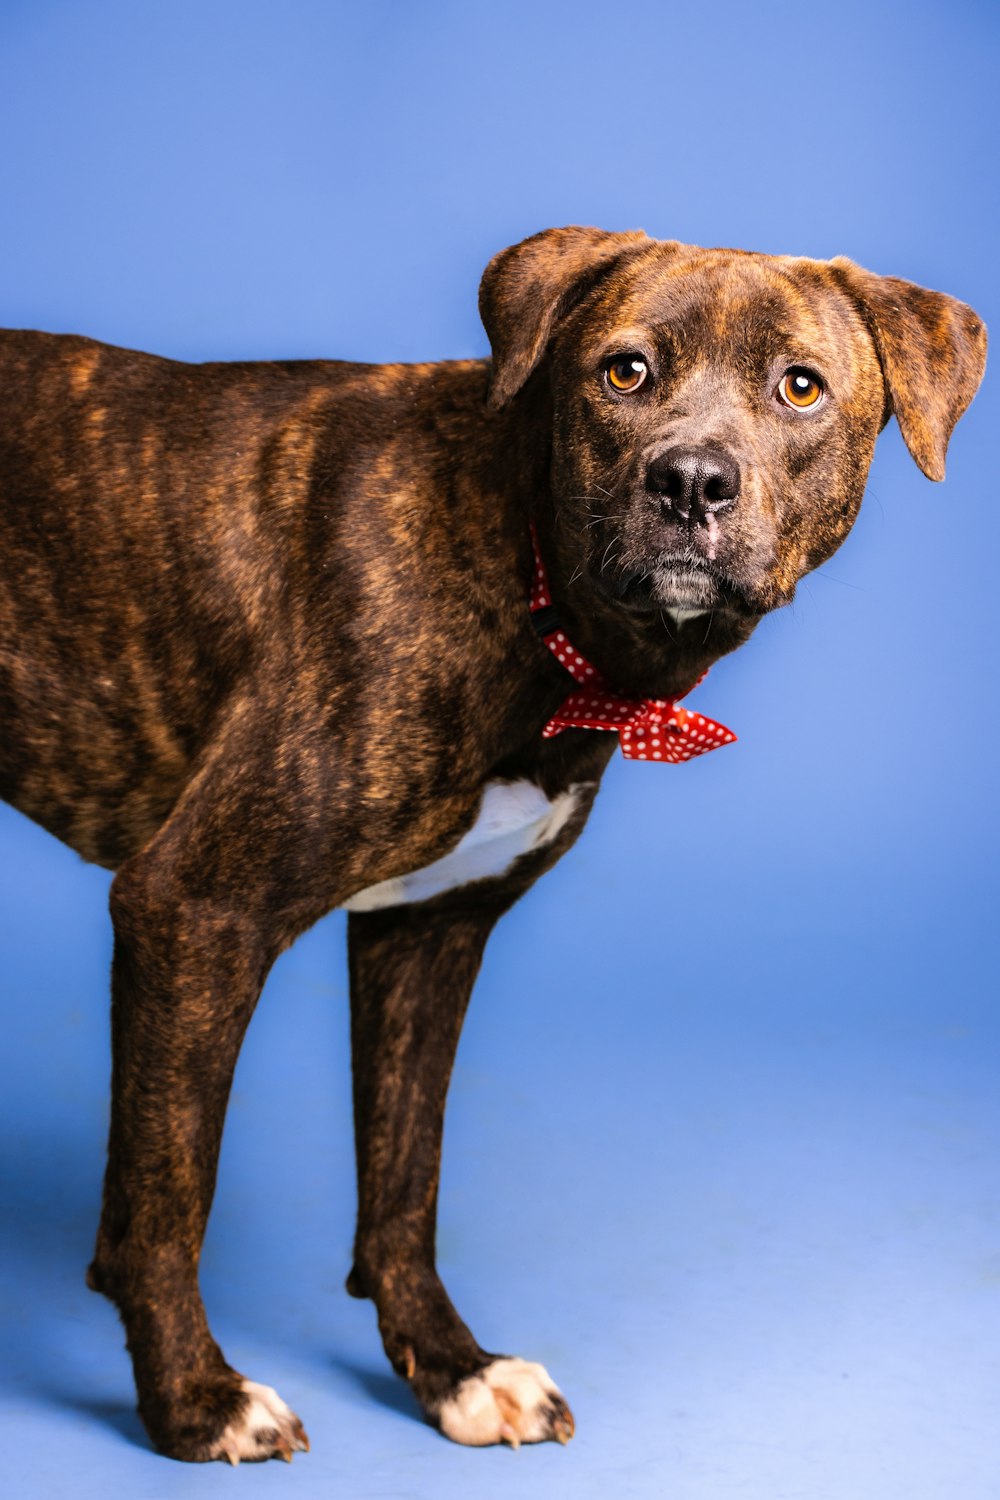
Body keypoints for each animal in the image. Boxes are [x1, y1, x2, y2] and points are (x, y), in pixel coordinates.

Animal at [0, 228, 983, 1458]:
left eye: (799, 387)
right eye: (623, 372)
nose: (690, 480)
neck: (534, 584)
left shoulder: (430, 927)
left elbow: (404, 1182)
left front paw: (449, 1369)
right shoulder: (195, 912)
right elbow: (169, 1194)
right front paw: (191, 1400)